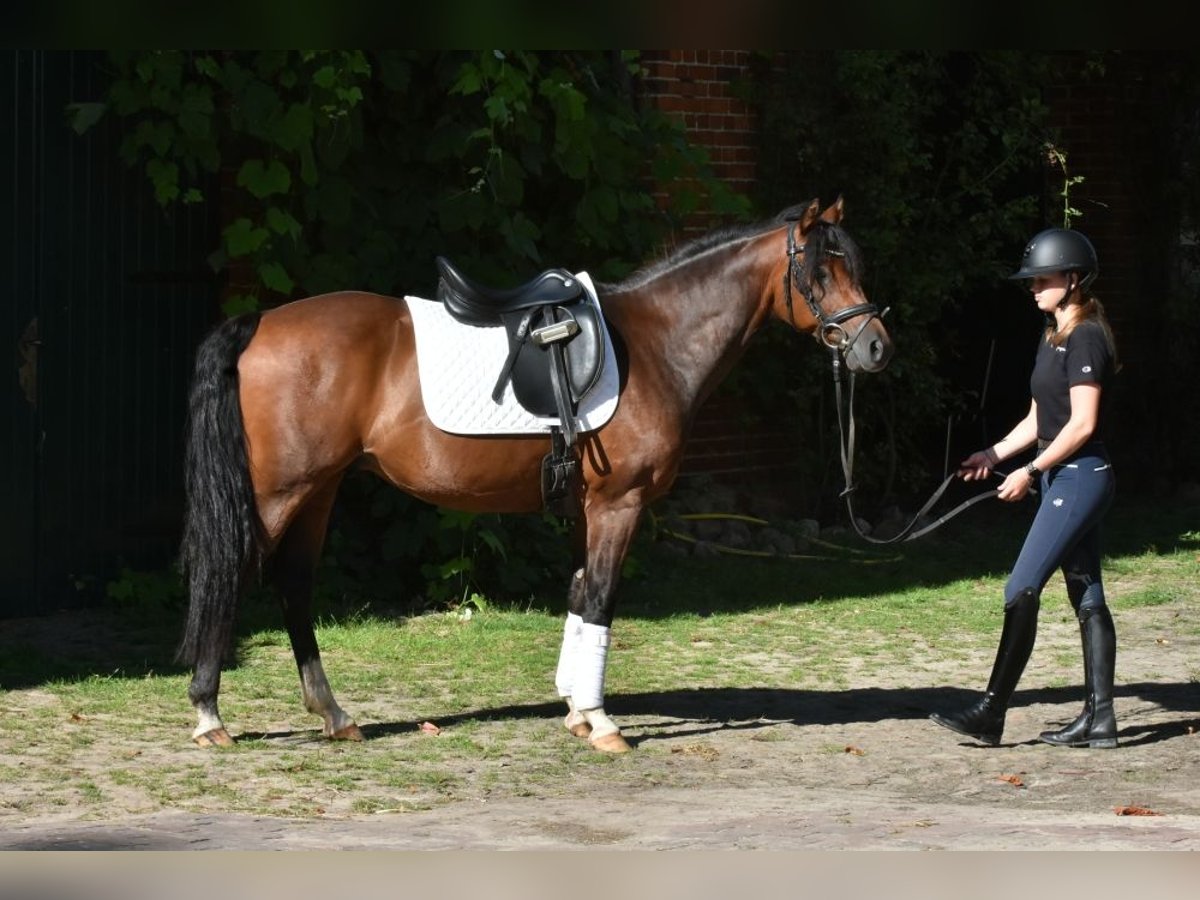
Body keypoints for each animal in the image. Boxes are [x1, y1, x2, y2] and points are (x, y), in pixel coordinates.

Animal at [175, 196, 892, 753]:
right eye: (821, 271)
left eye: (855, 265)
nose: (876, 347)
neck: (656, 343)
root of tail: (260, 323)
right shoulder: (618, 504)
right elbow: (600, 598)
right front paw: (601, 722)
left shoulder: (585, 510)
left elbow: (578, 596)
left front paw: (575, 709)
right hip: (281, 492)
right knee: (232, 576)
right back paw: (210, 716)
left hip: (318, 491)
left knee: (294, 588)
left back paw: (334, 715)